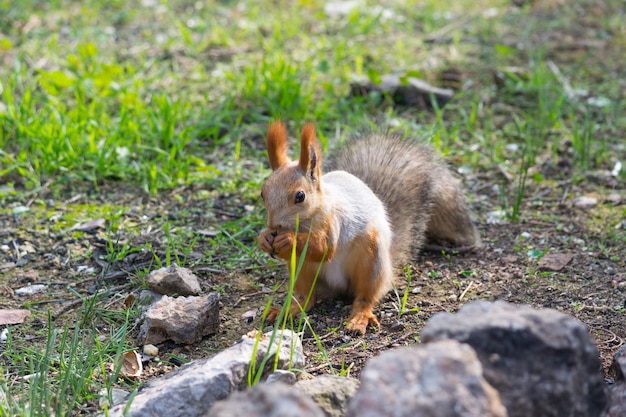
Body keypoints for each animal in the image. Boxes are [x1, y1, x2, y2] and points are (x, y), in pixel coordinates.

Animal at [256, 119, 480, 332]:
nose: (274, 225)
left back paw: (359, 318)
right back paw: (287, 309)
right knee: (305, 297)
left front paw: (288, 239)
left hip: (371, 260)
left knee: (365, 296)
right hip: (301, 268)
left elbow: (324, 248)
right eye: (262, 193)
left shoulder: (335, 220)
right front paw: (264, 238)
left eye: (300, 196)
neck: (305, 221)